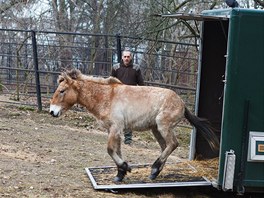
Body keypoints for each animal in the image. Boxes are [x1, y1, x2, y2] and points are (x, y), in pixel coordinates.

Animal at [49, 69, 219, 182]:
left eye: (62, 91)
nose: (52, 111)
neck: (106, 97)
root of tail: (182, 103)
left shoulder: (115, 128)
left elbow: (110, 150)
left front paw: (125, 168)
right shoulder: (114, 131)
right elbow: (116, 150)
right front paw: (120, 174)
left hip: (163, 127)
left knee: (172, 144)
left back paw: (155, 168)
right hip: (156, 130)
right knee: (165, 147)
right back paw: (155, 173)